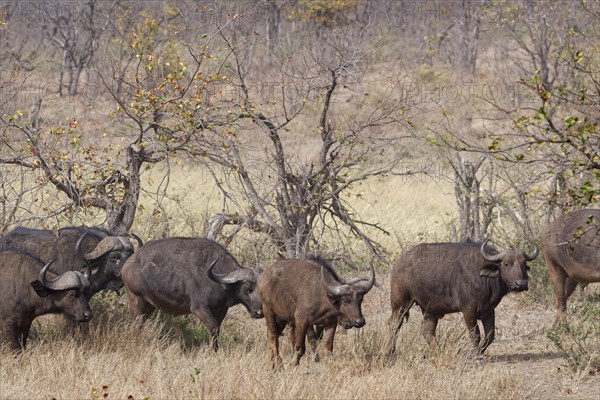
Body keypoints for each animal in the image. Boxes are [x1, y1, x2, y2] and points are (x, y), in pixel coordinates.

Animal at [120, 238, 262, 350]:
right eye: (246, 288)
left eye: (260, 288)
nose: (259, 313)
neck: (218, 281)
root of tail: (129, 262)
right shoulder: (199, 308)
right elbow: (214, 327)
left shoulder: (221, 309)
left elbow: (218, 329)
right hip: (136, 300)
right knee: (137, 324)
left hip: (150, 306)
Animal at [390, 241, 540, 356]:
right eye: (506, 263)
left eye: (523, 264)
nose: (521, 284)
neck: (484, 278)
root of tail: (398, 263)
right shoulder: (468, 310)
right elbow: (475, 335)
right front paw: (474, 354)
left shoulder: (489, 310)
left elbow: (490, 335)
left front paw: (480, 352)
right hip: (401, 304)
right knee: (394, 325)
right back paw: (390, 352)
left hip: (429, 309)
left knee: (427, 331)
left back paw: (437, 352)